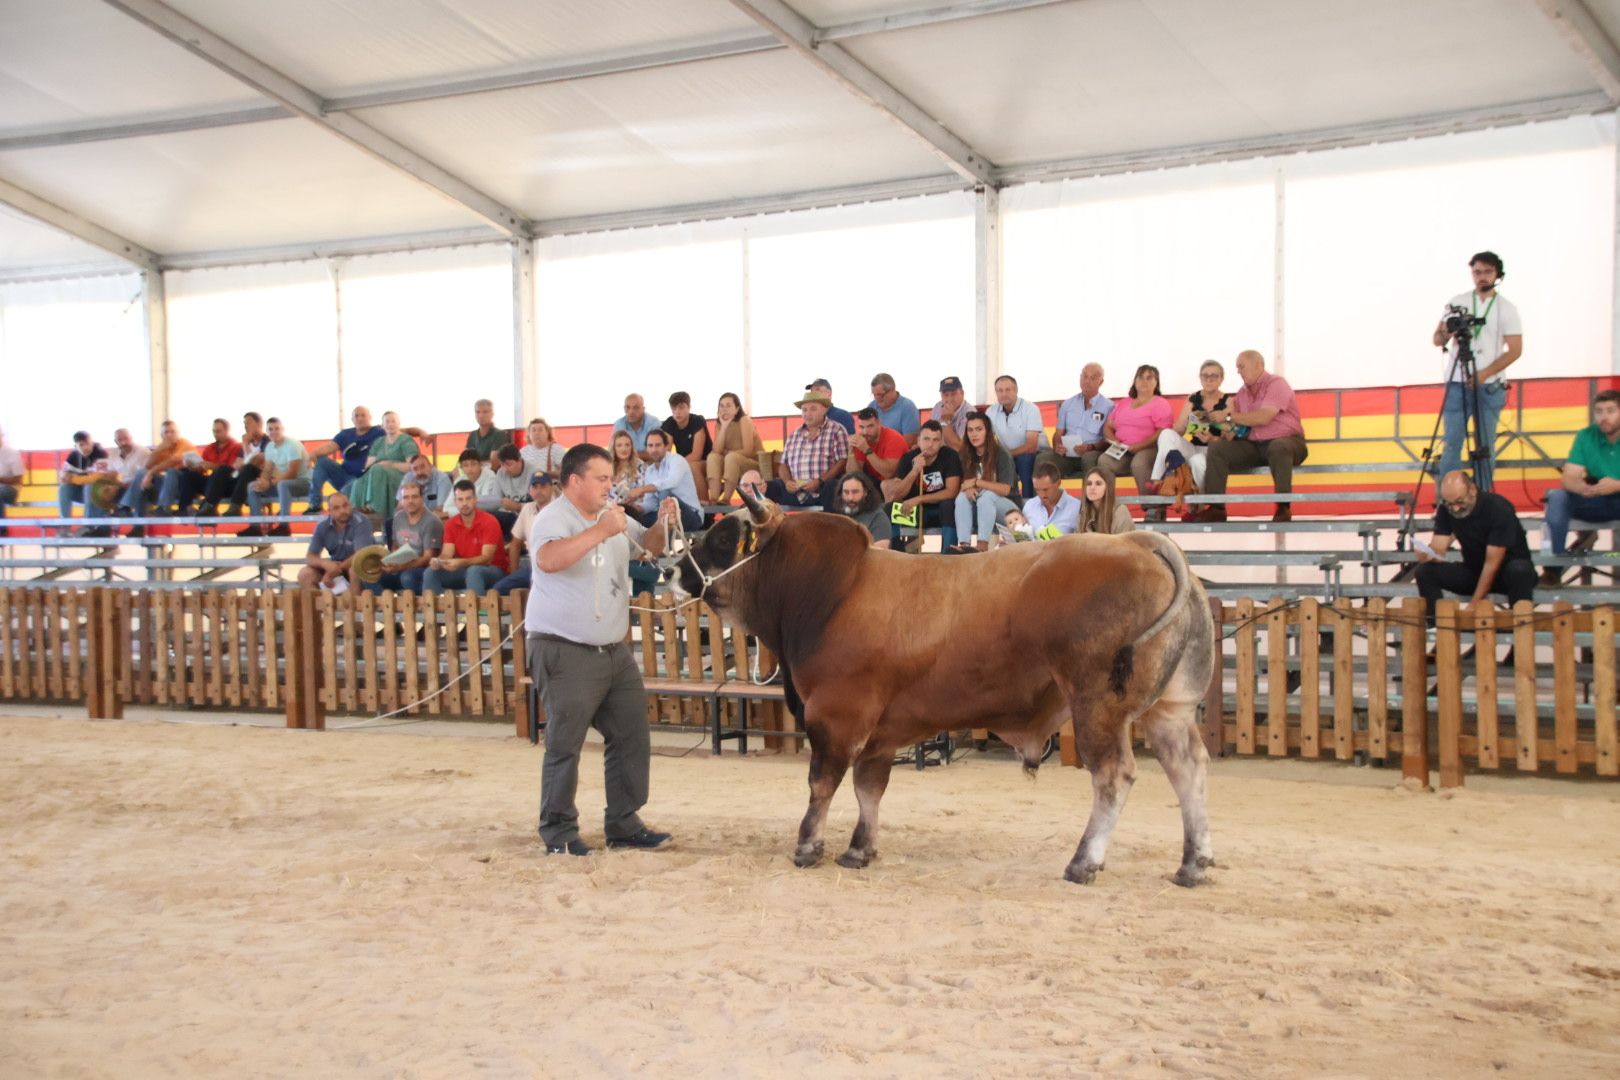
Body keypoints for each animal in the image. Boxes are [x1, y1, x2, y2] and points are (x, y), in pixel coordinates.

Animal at [670, 495, 1218, 887]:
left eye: (723, 536)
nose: (672, 569)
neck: (832, 592)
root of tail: (1138, 542)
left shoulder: (835, 716)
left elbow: (821, 785)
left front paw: (808, 847)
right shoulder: (880, 731)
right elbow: (868, 789)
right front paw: (859, 849)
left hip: (1097, 705)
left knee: (1114, 776)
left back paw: (1084, 861)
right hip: (1170, 709)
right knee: (1188, 768)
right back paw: (1194, 863)